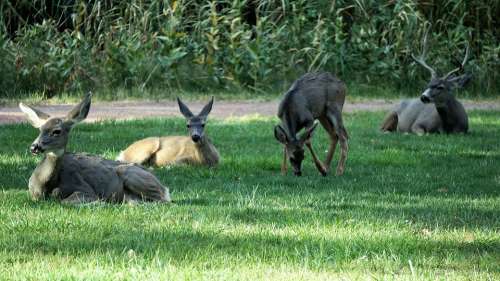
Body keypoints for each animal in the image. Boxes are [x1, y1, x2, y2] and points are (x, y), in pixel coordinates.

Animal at [18, 92, 171, 203]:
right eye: (40, 129)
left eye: (57, 131)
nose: (34, 147)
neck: (44, 186)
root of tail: (164, 188)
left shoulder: (84, 189)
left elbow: (66, 200)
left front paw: (99, 202)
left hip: (129, 174)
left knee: (162, 201)